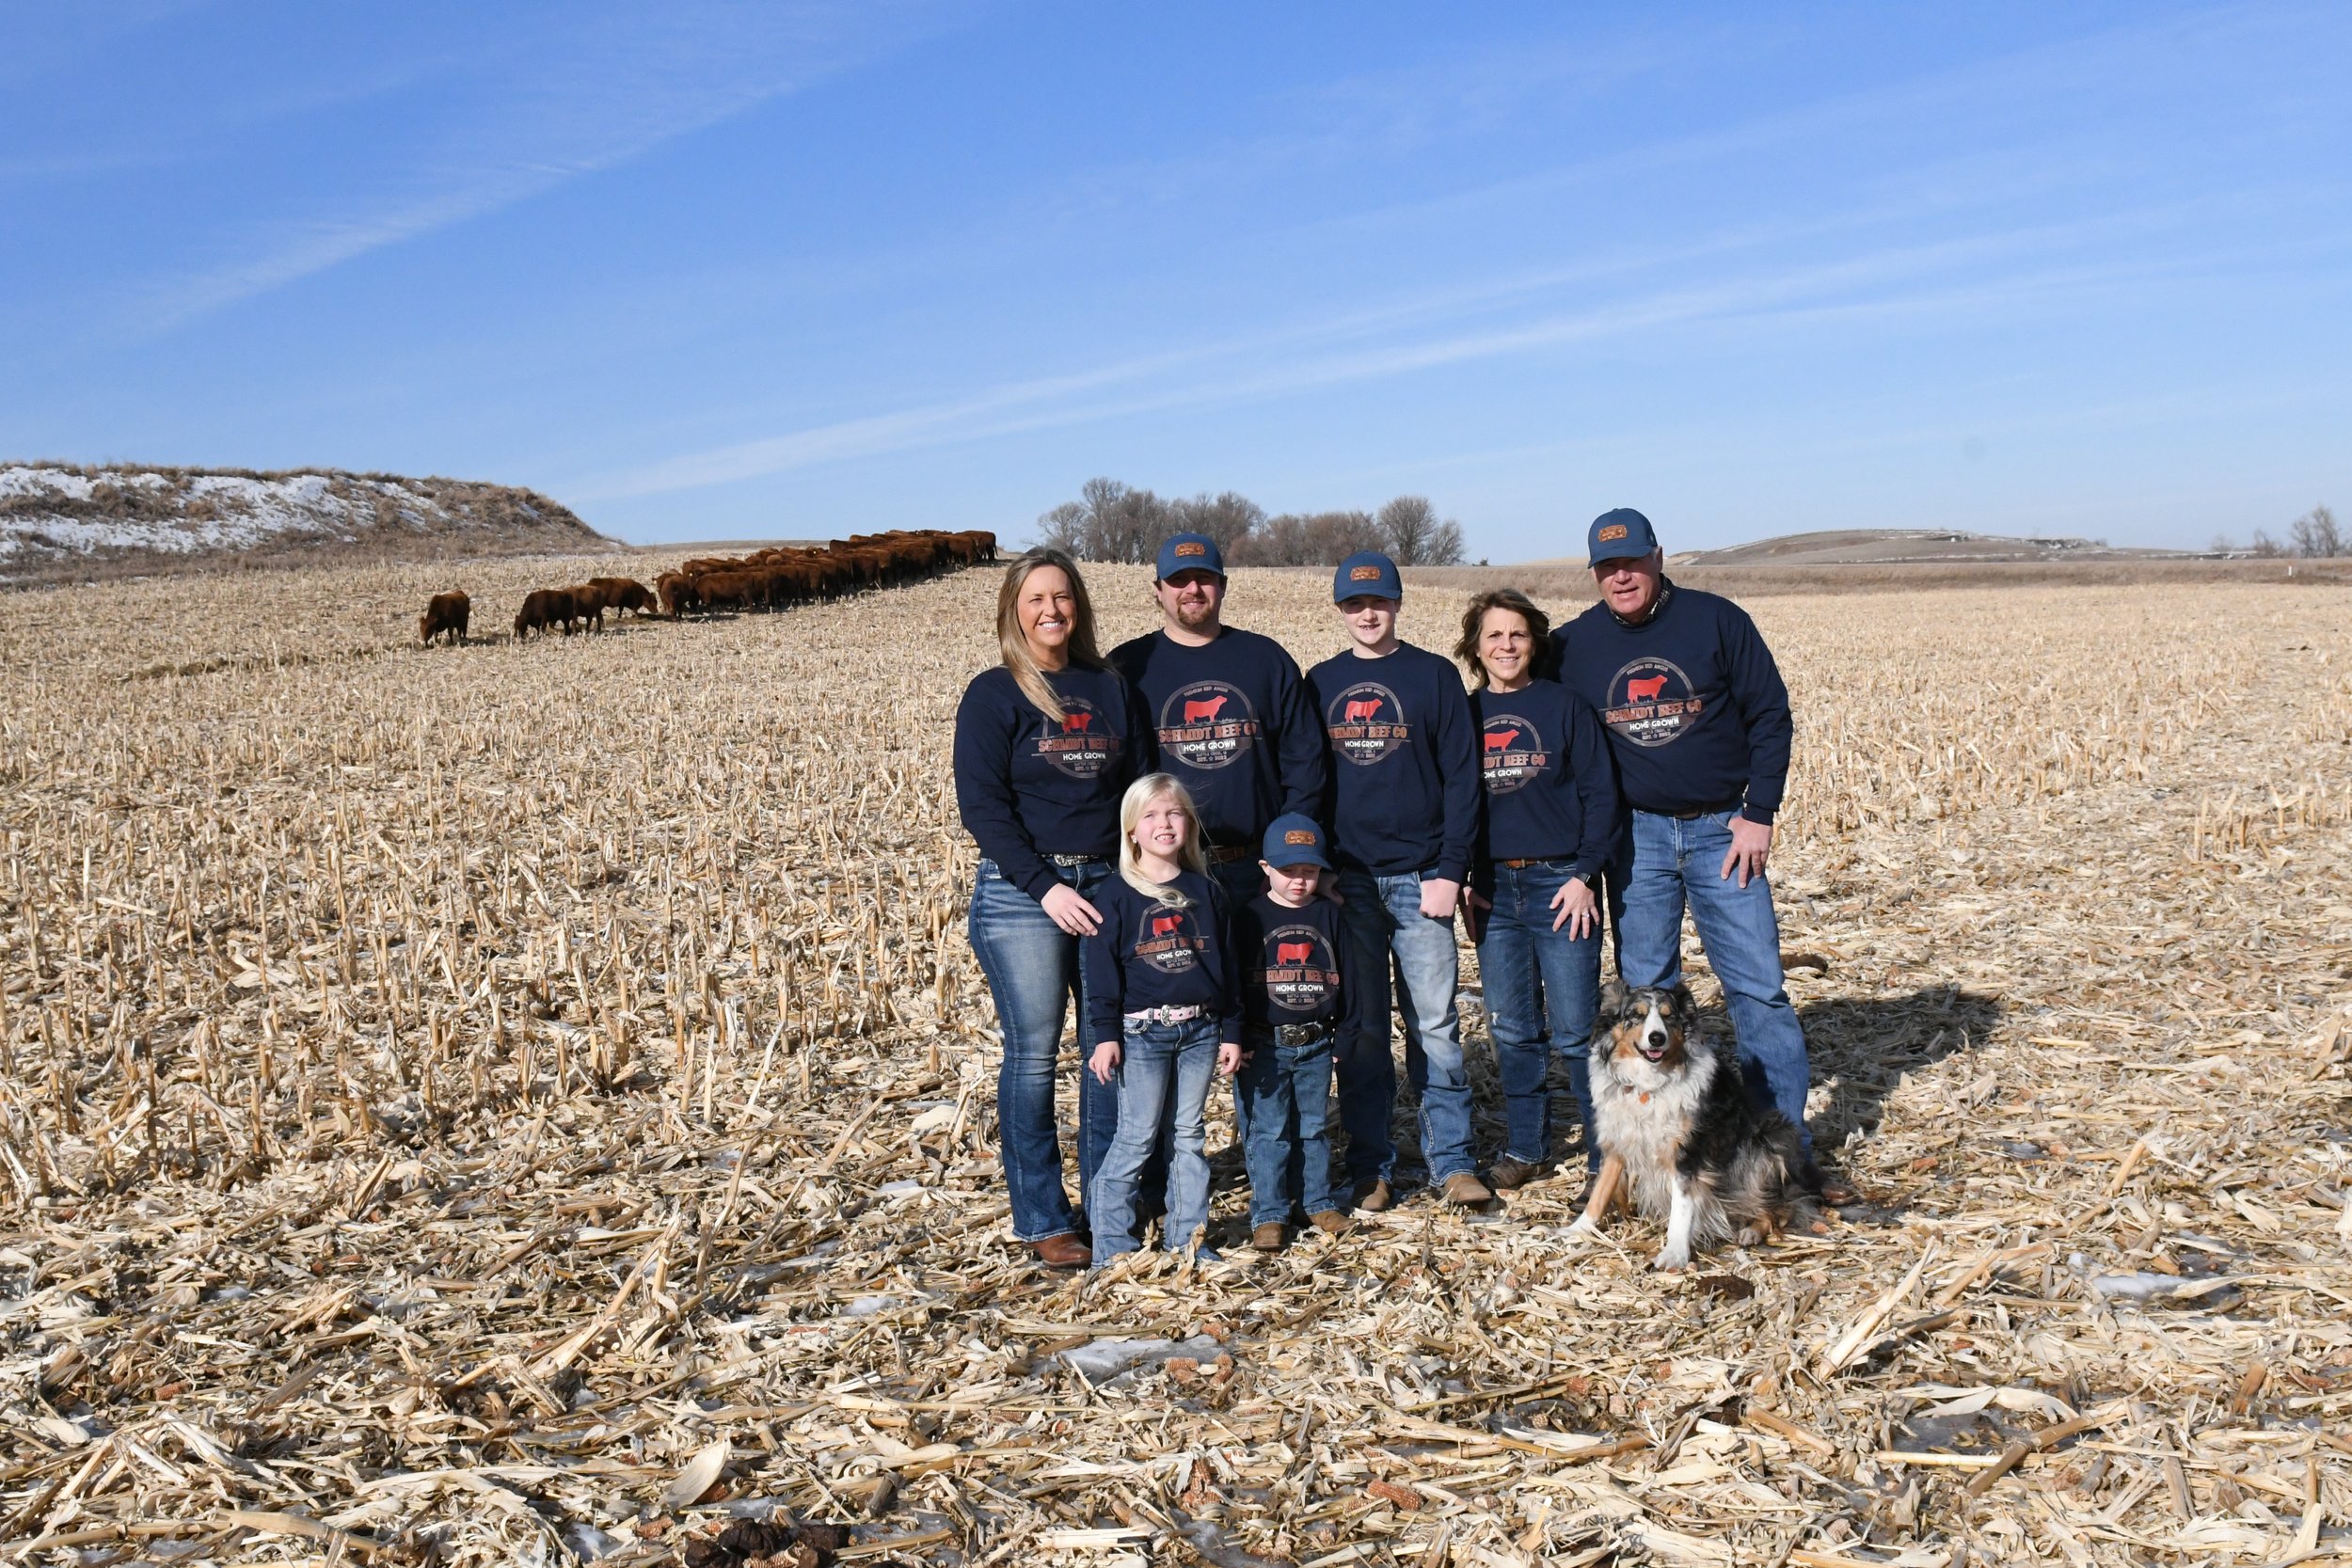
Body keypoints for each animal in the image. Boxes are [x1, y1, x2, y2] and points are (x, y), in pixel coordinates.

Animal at [1571, 987, 1825, 1269]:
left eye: (1669, 1016)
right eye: (1635, 1015)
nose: (1657, 1038)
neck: (1648, 1084)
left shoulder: (1686, 1153)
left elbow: (1681, 1208)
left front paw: (1674, 1253)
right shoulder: (1618, 1140)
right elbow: (1601, 1190)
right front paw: (1577, 1229)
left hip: (1767, 1142)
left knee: (1780, 1206)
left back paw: (1752, 1230)